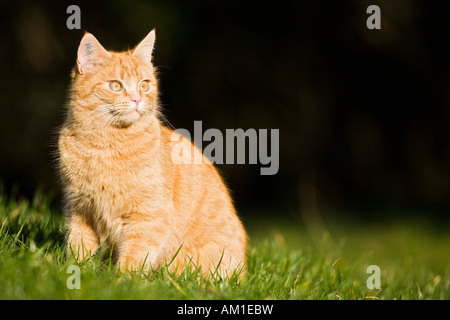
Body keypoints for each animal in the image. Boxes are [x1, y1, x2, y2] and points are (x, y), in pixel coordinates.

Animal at [57, 30, 248, 278]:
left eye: (145, 85)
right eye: (115, 85)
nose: (137, 99)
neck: (106, 145)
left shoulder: (147, 217)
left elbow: (135, 255)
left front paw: (122, 279)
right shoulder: (80, 211)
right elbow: (79, 249)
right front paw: (78, 272)